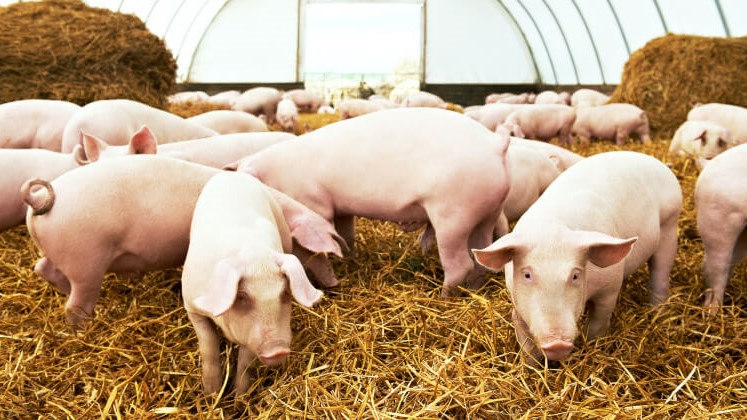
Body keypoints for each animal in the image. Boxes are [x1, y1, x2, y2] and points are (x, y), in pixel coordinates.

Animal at [21, 156, 343, 330]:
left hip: (66, 257)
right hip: (86, 261)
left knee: (43, 268)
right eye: (317, 252)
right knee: (74, 305)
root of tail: (42, 201)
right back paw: (87, 327)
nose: (334, 283)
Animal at [183, 172, 325, 395]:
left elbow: (245, 363)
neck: (253, 254)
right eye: (242, 296)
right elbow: (208, 345)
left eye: (285, 293)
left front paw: (239, 396)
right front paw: (212, 394)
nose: (277, 350)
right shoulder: (192, 305)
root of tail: (232, 174)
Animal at [227, 107, 511, 297]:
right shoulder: (340, 208)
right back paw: (472, 290)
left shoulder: (314, 202)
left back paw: (444, 297)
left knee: (460, 264)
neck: (276, 172)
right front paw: (349, 257)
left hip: (453, 215)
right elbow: (346, 233)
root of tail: (495, 144)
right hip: (487, 214)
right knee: (480, 258)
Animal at [473, 151, 682, 364]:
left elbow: (599, 322)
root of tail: (654, 161)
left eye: (575, 275)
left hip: (669, 225)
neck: (552, 229)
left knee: (660, 273)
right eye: (527, 275)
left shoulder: (610, 287)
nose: (557, 343)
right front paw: (531, 366)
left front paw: (591, 346)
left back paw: (658, 312)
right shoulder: (515, 300)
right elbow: (526, 343)